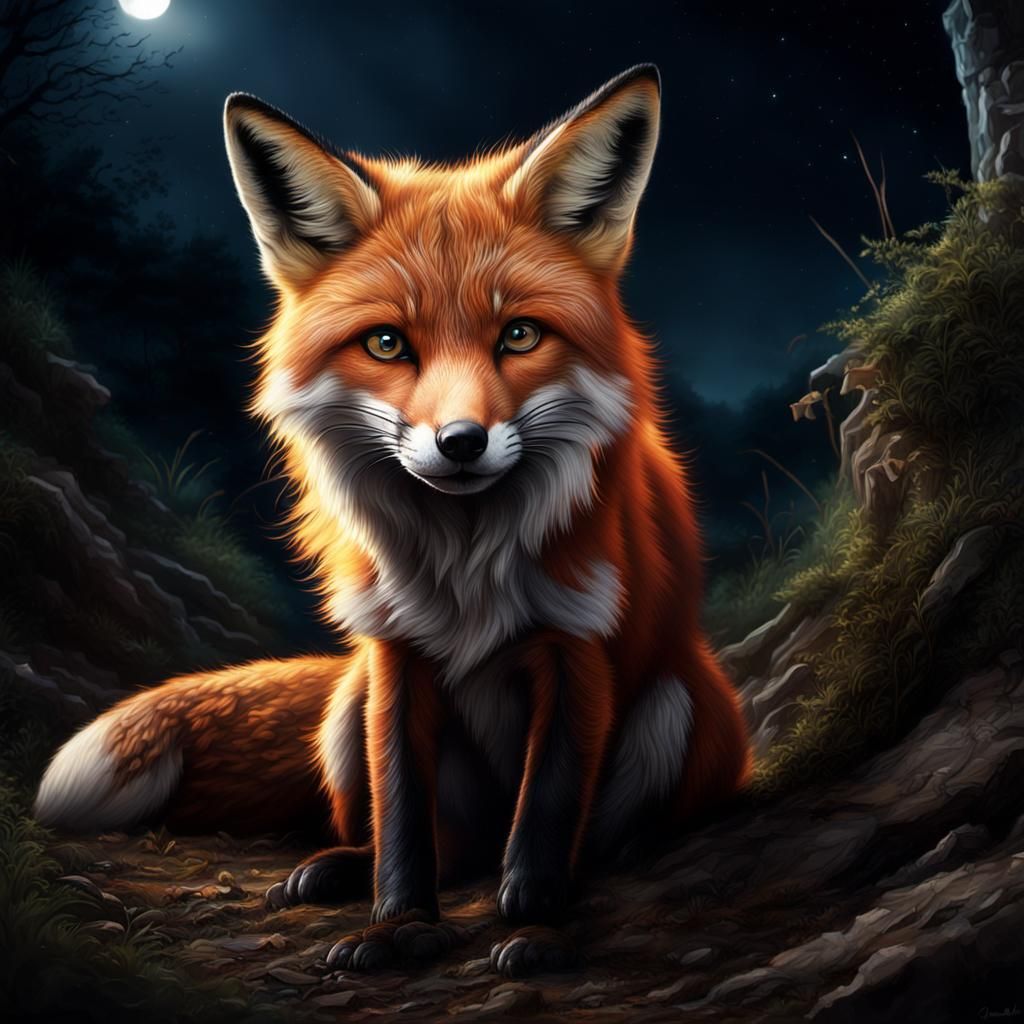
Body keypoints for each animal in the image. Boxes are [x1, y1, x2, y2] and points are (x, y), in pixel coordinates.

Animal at [34, 64, 751, 972]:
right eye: (386, 344)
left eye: (520, 335)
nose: (461, 443)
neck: (465, 565)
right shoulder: (395, 655)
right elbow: (404, 816)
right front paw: (401, 924)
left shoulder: (580, 646)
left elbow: (548, 814)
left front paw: (537, 924)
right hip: (348, 708)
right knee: (437, 845)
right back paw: (341, 869)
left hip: (673, 706)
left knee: (572, 838)